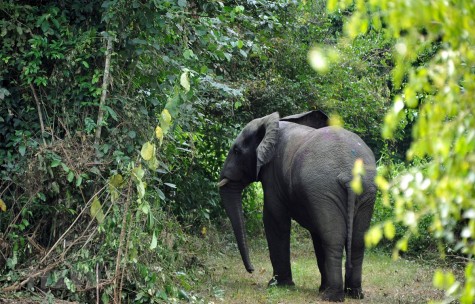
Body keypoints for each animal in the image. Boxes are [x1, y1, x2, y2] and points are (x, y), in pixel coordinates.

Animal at [218, 110, 378, 302]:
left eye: (236, 151)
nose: (252, 270)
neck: (273, 123)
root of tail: (348, 174)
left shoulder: (273, 175)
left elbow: (274, 219)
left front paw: (277, 285)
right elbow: (316, 232)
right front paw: (319, 288)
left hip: (325, 188)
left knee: (333, 239)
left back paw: (332, 296)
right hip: (364, 192)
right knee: (356, 240)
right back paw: (353, 294)